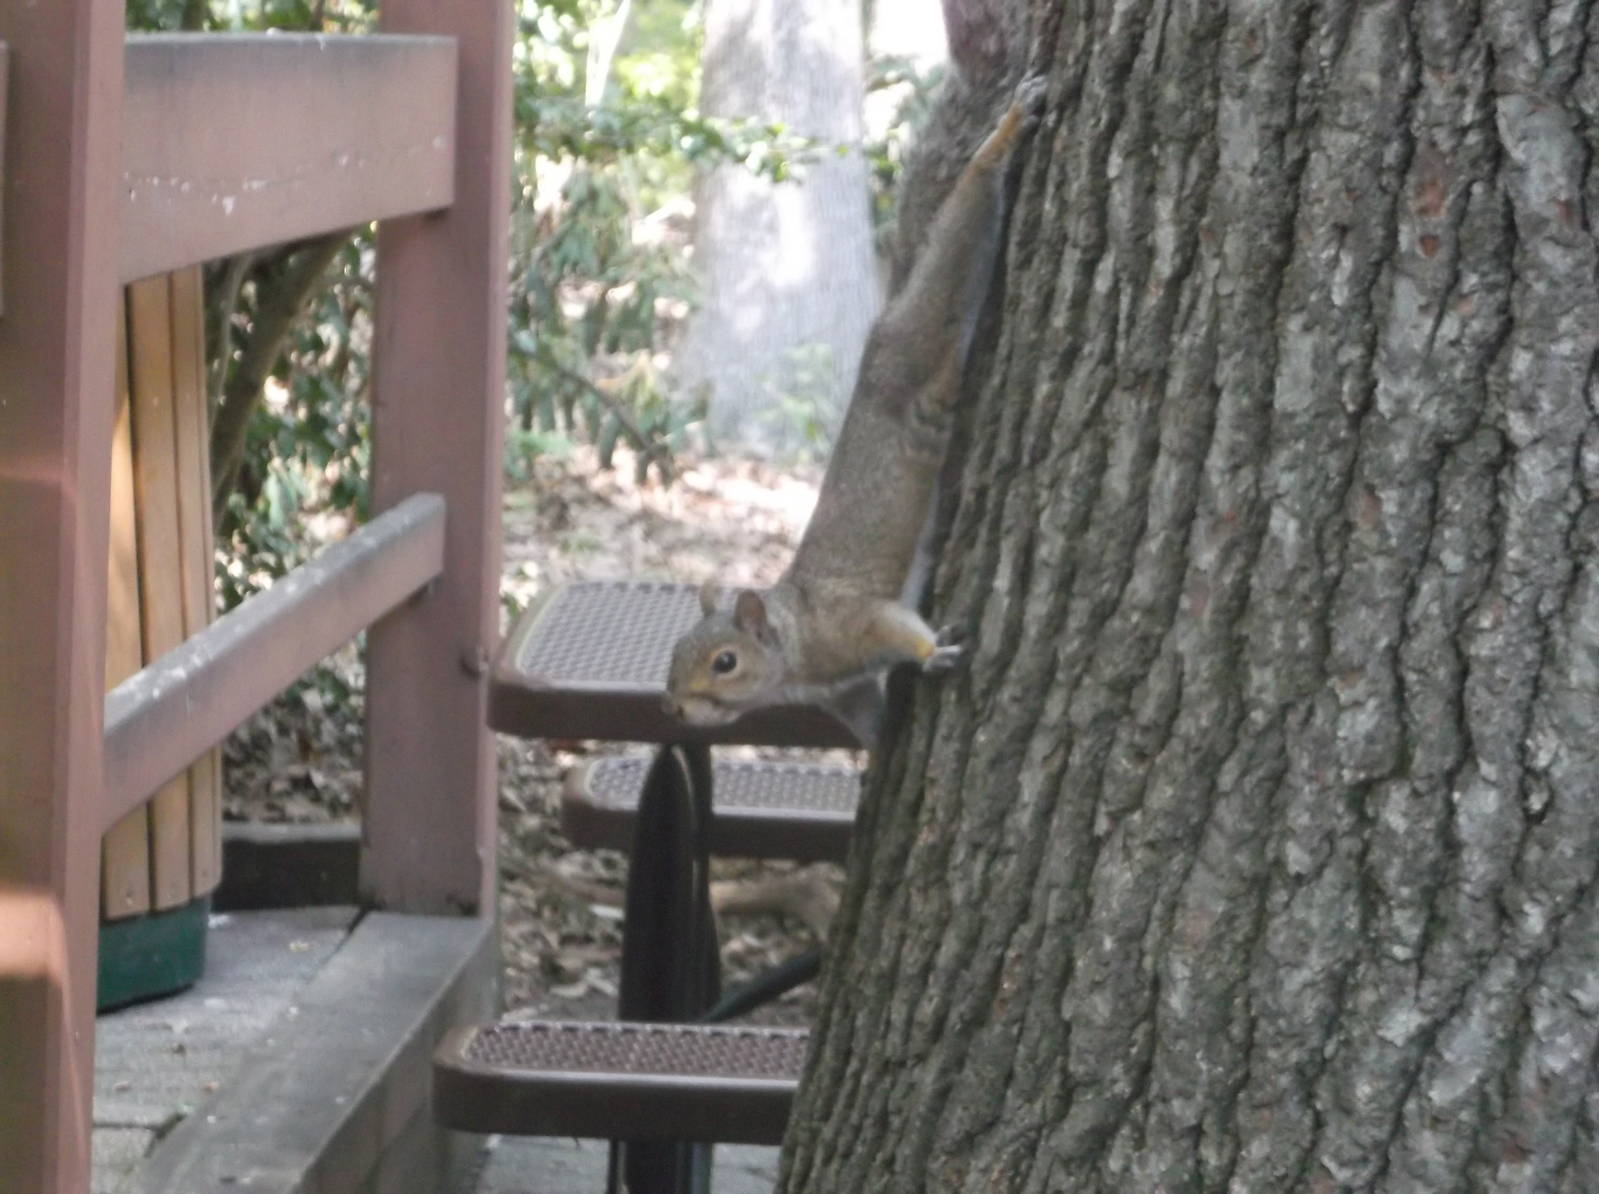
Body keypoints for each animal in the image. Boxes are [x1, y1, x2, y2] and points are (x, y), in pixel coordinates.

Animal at [664, 77, 1046, 747]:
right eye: (675, 653)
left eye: (725, 662)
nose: (677, 711)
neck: (796, 649)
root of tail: (879, 328)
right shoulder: (847, 693)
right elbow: (870, 718)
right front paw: (878, 753)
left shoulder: (854, 622)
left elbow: (897, 626)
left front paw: (932, 655)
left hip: (910, 349)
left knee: (948, 263)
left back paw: (997, 143)